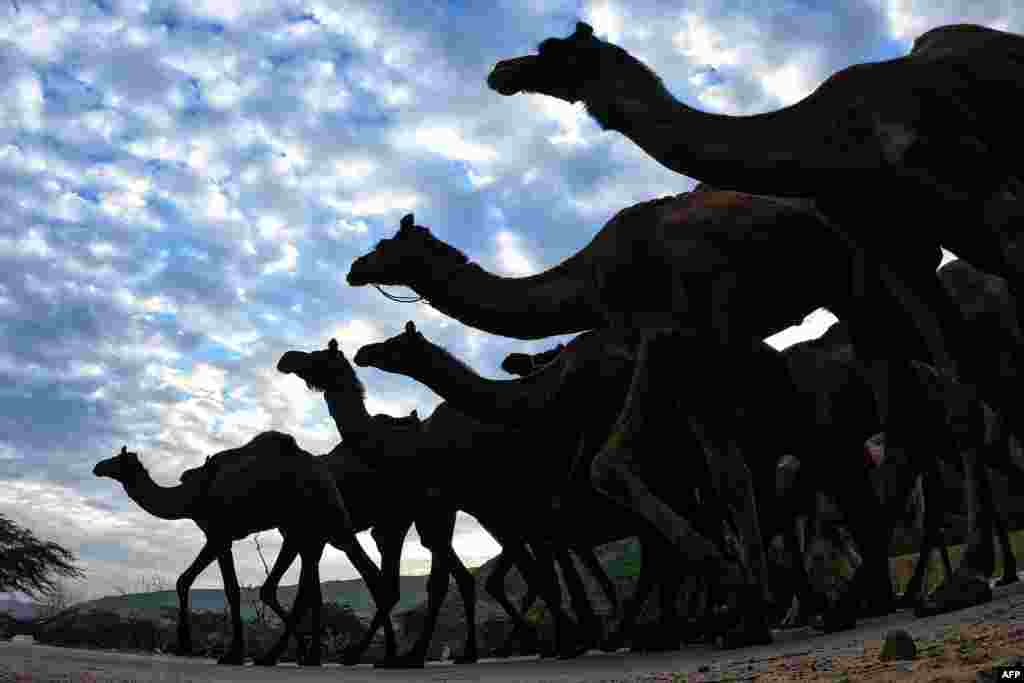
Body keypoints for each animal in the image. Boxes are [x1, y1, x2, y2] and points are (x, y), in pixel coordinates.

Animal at [91, 438, 364, 667]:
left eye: (116, 459)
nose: (97, 466)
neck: (189, 497)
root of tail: (322, 471)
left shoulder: (219, 534)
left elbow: (231, 589)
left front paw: (232, 654)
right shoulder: (216, 537)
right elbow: (184, 580)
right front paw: (186, 645)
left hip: (314, 519)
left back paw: (303, 655)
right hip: (304, 529)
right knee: (311, 587)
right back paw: (309, 655)